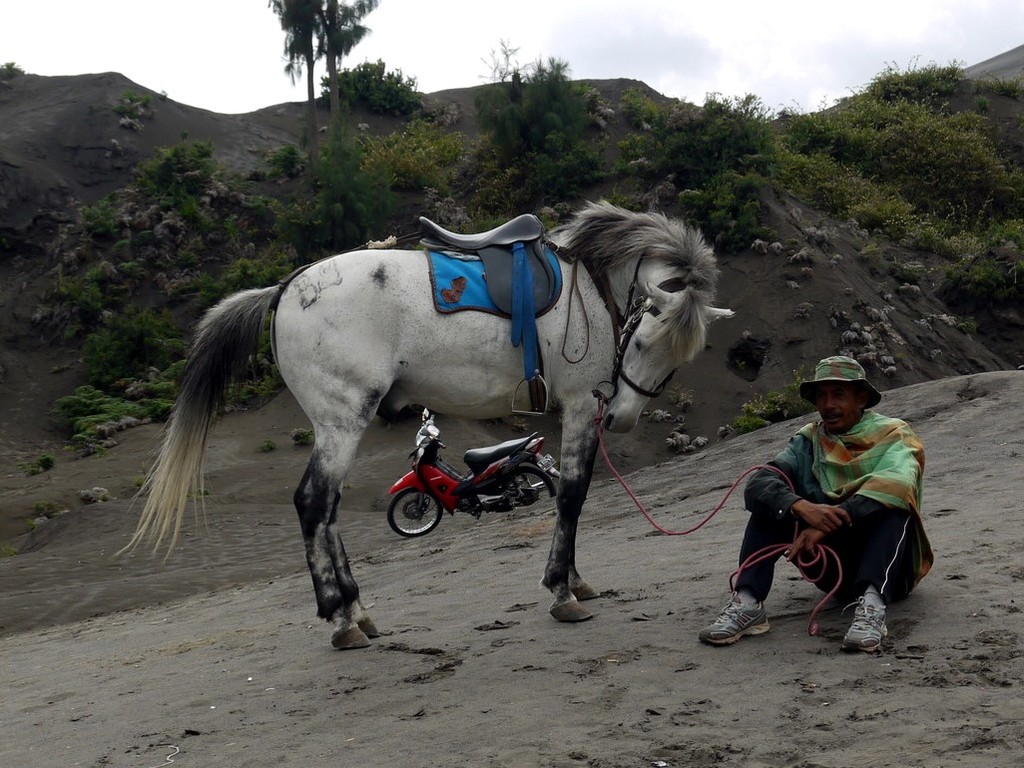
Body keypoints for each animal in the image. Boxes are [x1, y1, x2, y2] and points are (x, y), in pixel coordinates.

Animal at [126, 201, 733, 649]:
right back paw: (340, 618)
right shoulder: (582, 404)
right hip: (343, 419)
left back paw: (357, 610)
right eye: (646, 339)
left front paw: (575, 580)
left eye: (680, 355)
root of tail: (285, 287)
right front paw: (562, 591)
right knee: (313, 503)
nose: (622, 418)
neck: (590, 283)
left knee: (329, 509)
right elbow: (573, 495)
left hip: (338, 424)